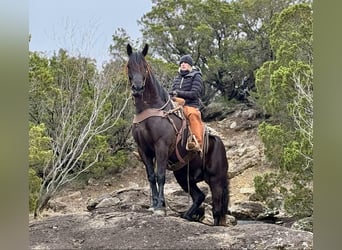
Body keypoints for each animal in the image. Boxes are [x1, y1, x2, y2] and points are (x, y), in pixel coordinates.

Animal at [126, 44, 230, 226]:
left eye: (144, 66)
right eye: (128, 66)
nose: (137, 88)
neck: (151, 109)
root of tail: (219, 143)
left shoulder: (161, 147)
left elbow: (160, 176)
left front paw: (160, 208)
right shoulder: (144, 150)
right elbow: (151, 177)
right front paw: (154, 205)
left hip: (216, 179)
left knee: (217, 209)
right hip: (183, 176)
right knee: (199, 196)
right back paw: (187, 216)